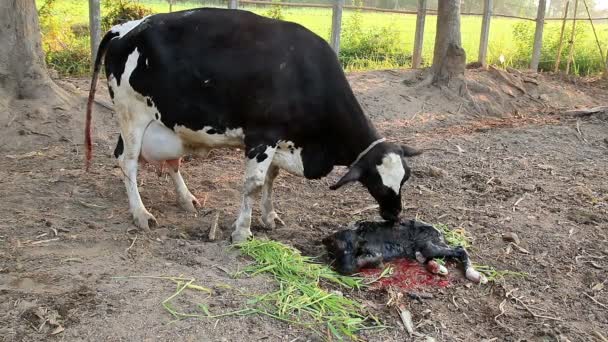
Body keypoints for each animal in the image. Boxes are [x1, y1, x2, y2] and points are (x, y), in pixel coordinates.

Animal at [85, 8, 420, 243]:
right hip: (131, 114)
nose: (394, 214)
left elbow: (271, 179)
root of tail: (126, 27)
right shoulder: (262, 136)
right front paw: (242, 232)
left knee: (171, 161)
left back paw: (186, 199)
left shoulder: (281, 141)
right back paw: (141, 213)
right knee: (127, 162)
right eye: (378, 183)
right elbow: (254, 184)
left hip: (165, 124)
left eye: (404, 179)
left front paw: (268, 217)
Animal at [324, 219, 490, 284]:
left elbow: (370, 259)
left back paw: (474, 274)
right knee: (426, 258)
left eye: (355, 249)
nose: (346, 270)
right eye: (337, 249)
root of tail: (438, 231)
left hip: (429, 245)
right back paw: (437, 267)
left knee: (460, 249)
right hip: (426, 248)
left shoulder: (376, 253)